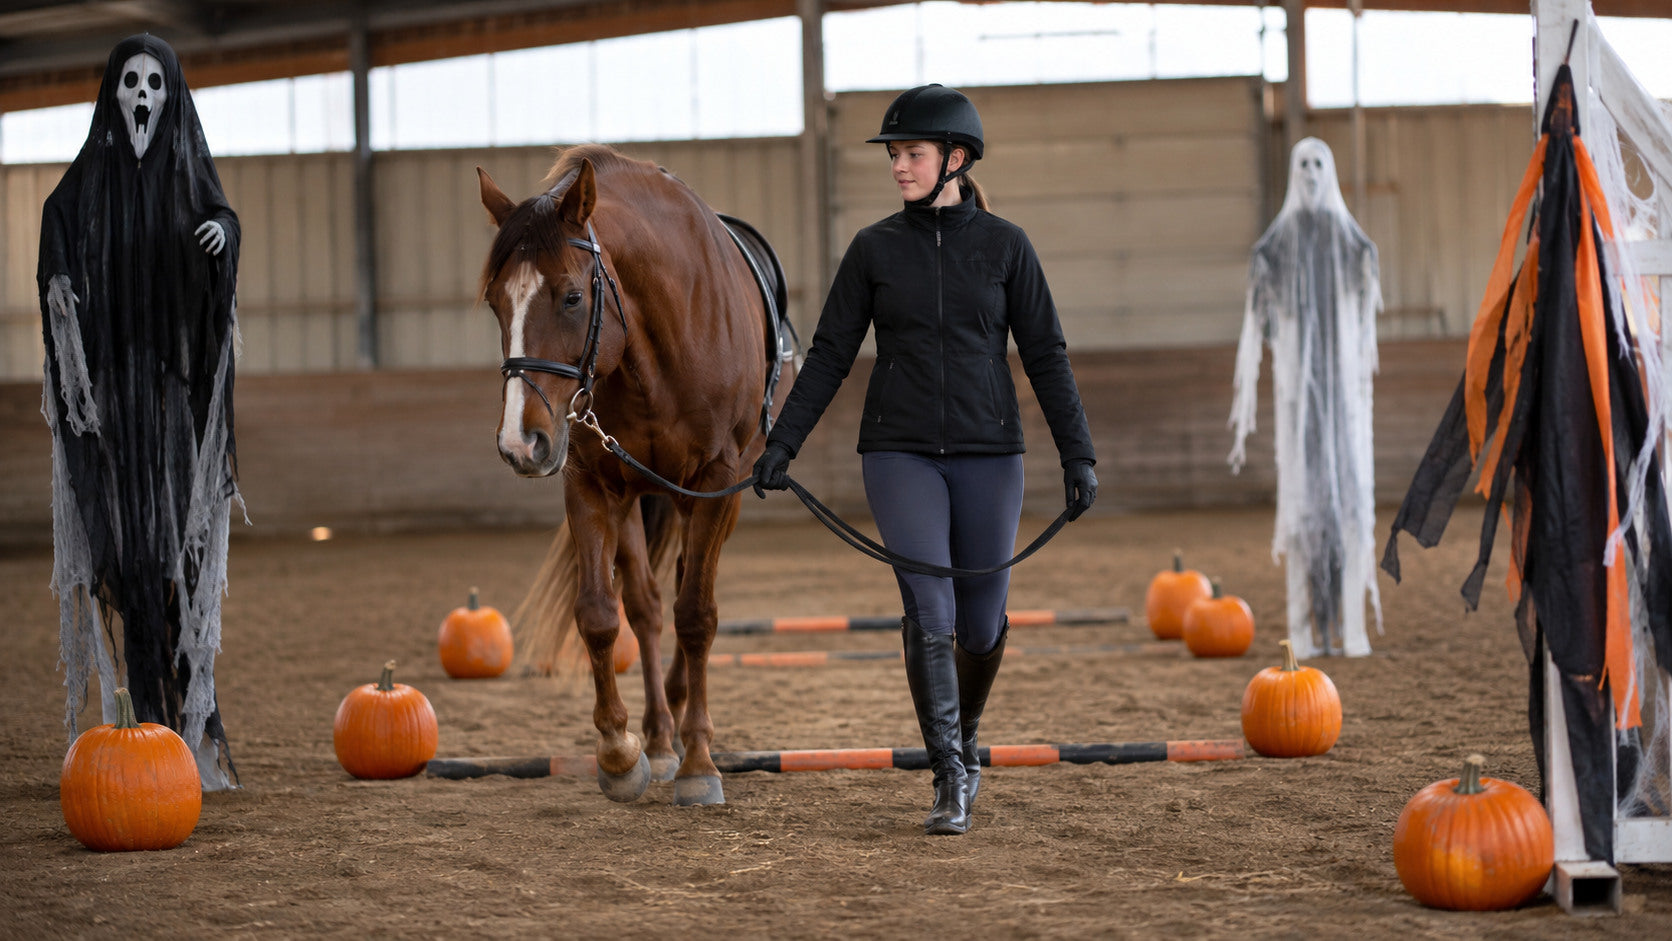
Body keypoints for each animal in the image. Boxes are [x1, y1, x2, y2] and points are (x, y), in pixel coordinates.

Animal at [476, 143, 794, 806]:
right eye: (496, 302)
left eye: (572, 297)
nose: (520, 443)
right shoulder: (593, 482)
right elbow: (601, 614)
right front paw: (621, 752)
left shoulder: (716, 483)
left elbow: (697, 614)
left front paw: (699, 763)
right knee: (646, 605)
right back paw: (657, 734)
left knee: (686, 590)